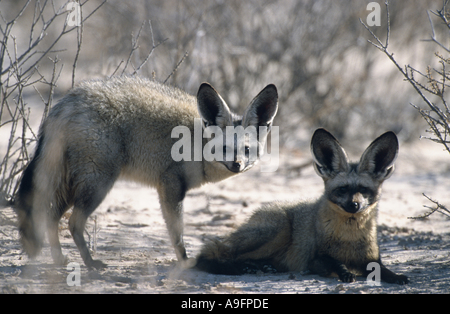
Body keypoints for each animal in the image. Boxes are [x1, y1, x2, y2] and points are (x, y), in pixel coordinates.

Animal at [15, 76, 278, 270]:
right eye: (224, 148)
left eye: (246, 150)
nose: (237, 165)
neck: (197, 139)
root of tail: (68, 101)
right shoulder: (170, 185)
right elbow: (177, 233)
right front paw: (185, 262)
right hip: (97, 185)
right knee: (73, 223)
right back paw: (90, 264)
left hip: (74, 186)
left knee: (51, 218)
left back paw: (59, 260)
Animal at [195, 127, 410, 284]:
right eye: (342, 190)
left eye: (364, 190)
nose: (354, 205)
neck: (350, 238)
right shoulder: (316, 259)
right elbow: (337, 264)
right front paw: (346, 273)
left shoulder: (372, 258)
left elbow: (383, 269)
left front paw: (396, 277)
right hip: (278, 230)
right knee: (223, 255)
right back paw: (247, 267)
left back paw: (262, 267)